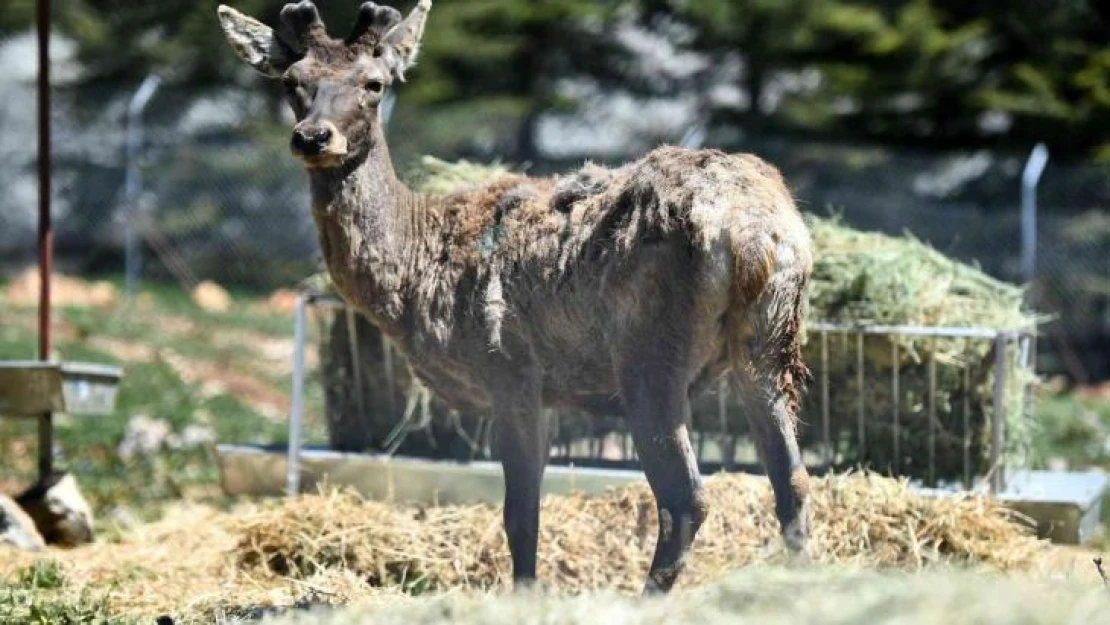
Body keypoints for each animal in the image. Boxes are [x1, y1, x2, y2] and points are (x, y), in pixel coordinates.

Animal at [216, 0, 816, 595]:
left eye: (375, 83)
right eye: (293, 81)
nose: (313, 137)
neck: (414, 273)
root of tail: (753, 232)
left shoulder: (507, 370)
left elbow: (519, 514)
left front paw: (524, 594)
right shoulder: (546, 393)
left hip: (650, 353)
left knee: (686, 498)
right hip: (770, 342)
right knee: (793, 482)